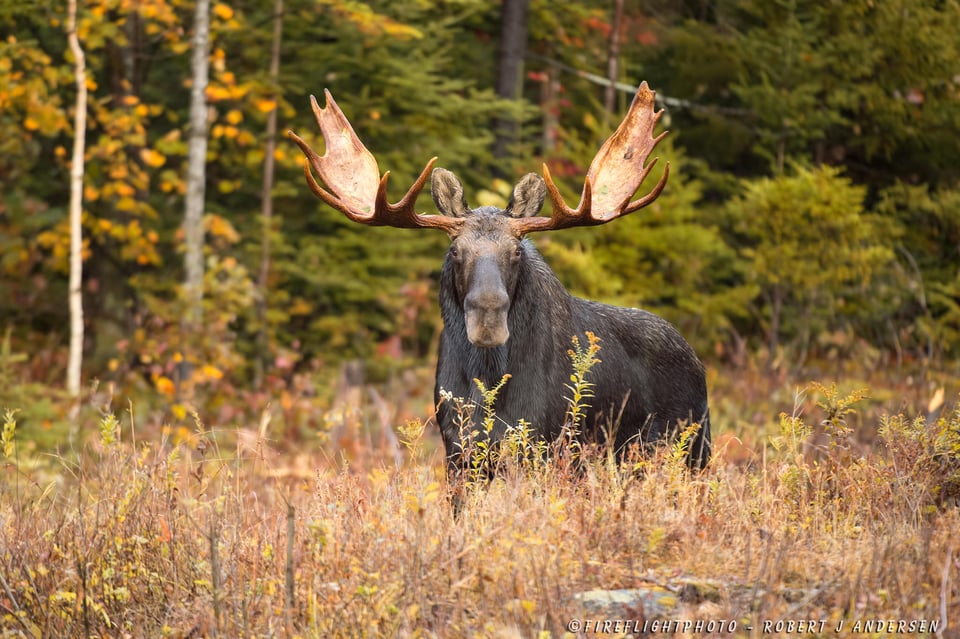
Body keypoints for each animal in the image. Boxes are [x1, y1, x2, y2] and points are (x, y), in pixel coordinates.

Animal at [288, 82, 708, 478]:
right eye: (456, 251)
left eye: (516, 252)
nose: (487, 317)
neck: (486, 379)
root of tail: (697, 361)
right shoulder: (459, 451)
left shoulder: (541, 445)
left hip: (689, 448)